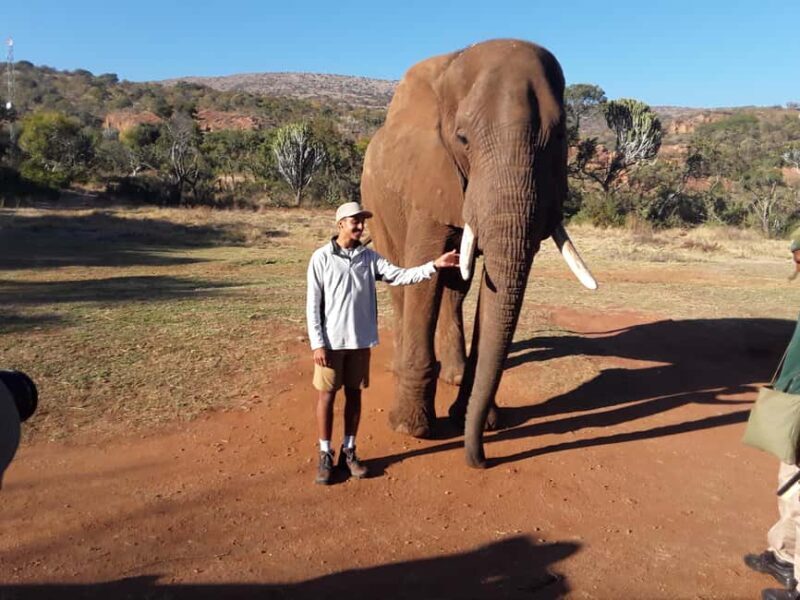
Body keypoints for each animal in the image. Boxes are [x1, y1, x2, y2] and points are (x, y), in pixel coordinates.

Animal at [361, 39, 596, 468]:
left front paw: (476, 421)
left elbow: (492, 287)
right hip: (376, 200)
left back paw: (452, 375)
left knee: (456, 288)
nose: (482, 460)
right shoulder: (429, 175)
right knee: (401, 279)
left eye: (559, 139)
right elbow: (424, 273)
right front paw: (411, 430)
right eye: (463, 139)